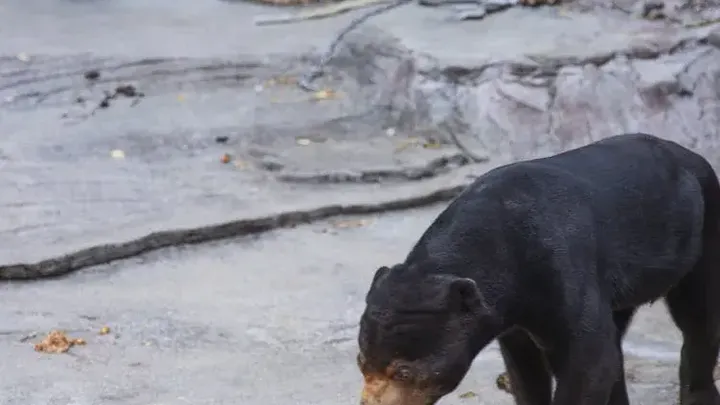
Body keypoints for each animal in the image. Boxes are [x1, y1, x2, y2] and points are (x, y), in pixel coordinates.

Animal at [356, 133, 720, 405]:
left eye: (403, 371)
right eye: (362, 362)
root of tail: (690, 155)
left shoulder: (560, 267)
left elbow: (589, 358)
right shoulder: (511, 316)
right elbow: (526, 368)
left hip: (701, 232)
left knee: (698, 316)